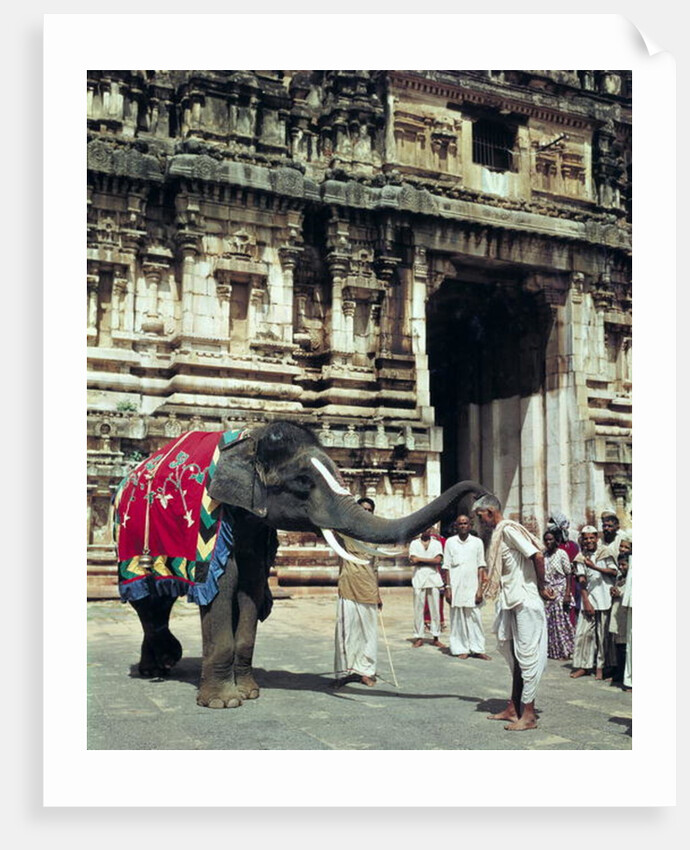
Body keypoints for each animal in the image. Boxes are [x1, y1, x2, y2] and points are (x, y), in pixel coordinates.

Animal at [114, 420, 487, 709]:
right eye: (302, 484)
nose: (484, 498)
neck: (250, 439)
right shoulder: (215, 524)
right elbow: (222, 585)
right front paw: (223, 703)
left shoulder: (254, 525)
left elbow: (249, 588)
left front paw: (250, 694)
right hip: (127, 542)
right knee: (148, 600)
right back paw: (158, 667)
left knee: (160, 600)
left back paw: (164, 663)